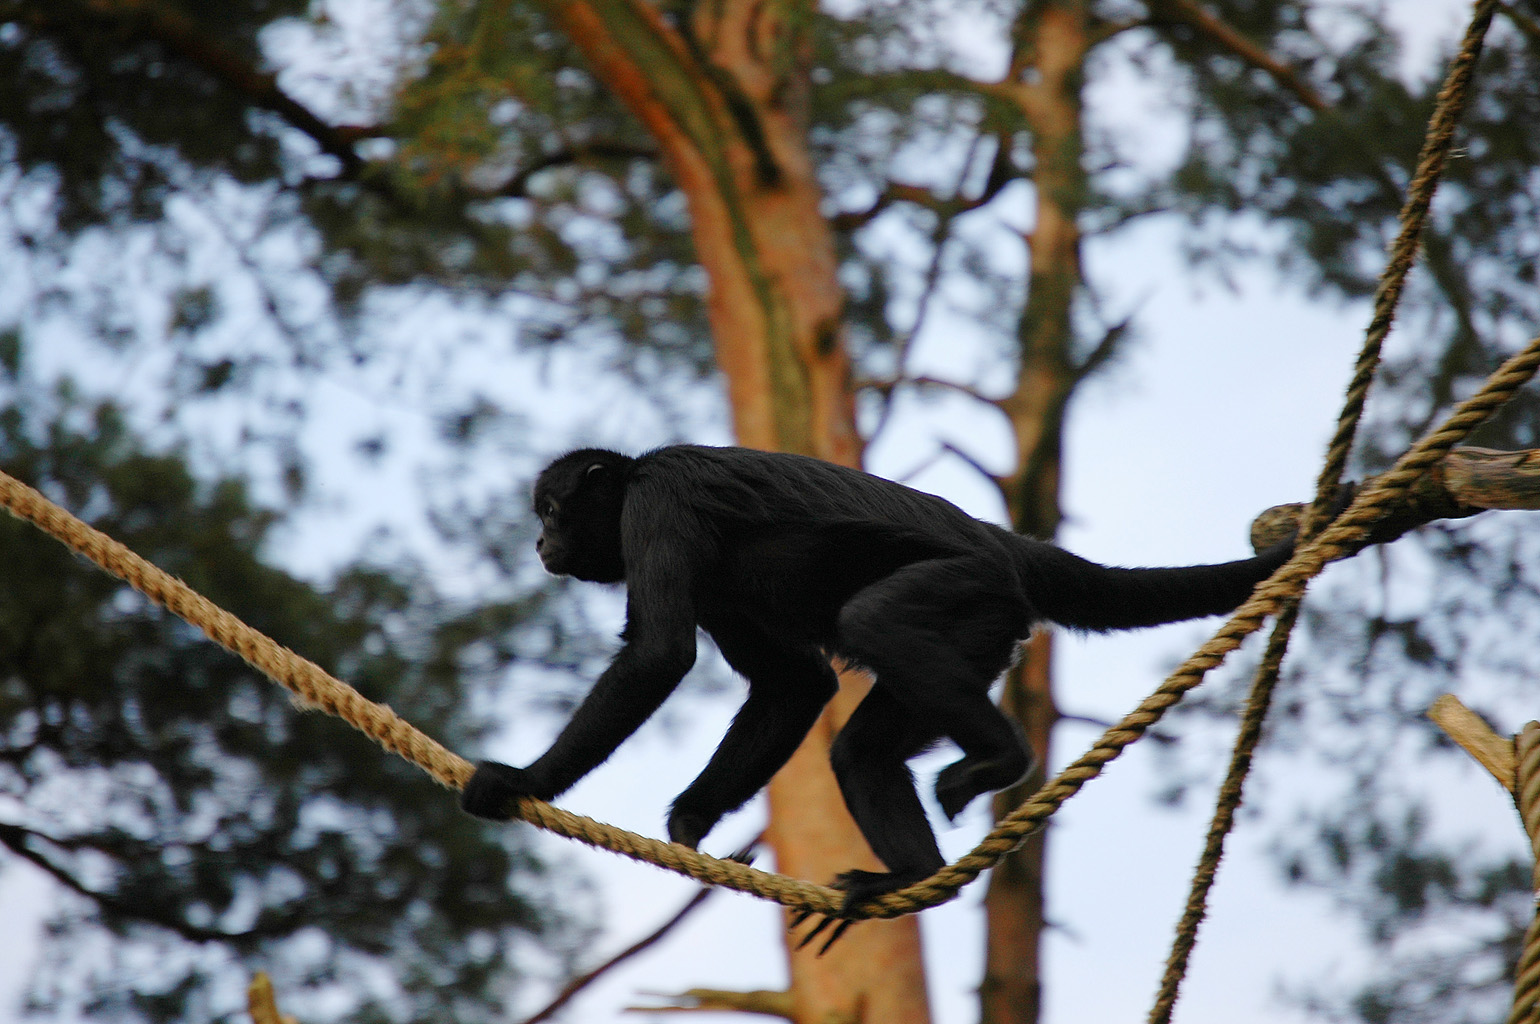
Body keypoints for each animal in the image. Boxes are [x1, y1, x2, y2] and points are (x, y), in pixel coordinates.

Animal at [465, 443, 1299, 905]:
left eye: (551, 510)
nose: (540, 543)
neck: (640, 474)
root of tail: (1001, 543)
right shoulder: (716, 586)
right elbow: (797, 686)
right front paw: (692, 825)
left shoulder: (659, 508)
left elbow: (659, 655)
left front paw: (520, 780)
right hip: (977, 636)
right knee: (860, 749)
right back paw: (912, 877)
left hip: (965, 590)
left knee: (875, 621)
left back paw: (1002, 758)